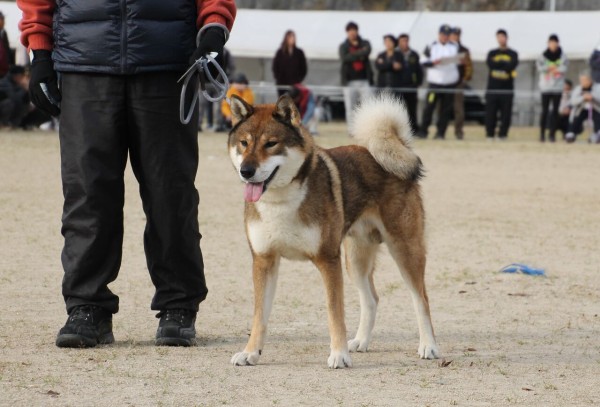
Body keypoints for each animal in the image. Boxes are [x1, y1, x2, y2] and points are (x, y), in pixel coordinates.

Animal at [227, 93, 438, 370]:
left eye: (271, 144)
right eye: (244, 143)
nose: (246, 171)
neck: (281, 201)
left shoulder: (328, 260)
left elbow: (334, 312)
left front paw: (339, 355)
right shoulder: (264, 260)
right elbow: (259, 315)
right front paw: (250, 352)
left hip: (404, 249)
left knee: (421, 299)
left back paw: (428, 346)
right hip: (356, 260)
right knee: (372, 299)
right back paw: (361, 341)